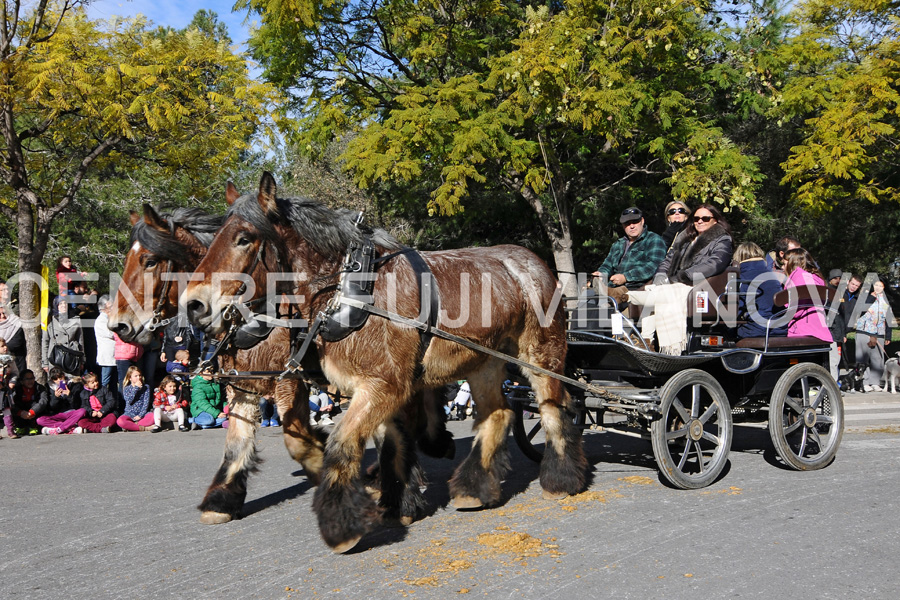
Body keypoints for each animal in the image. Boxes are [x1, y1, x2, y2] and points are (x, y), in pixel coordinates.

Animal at [105, 206, 328, 524]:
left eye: (149, 261)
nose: (118, 325)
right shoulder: (244, 383)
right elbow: (237, 439)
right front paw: (222, 497)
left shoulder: (288, 379)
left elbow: (298, 442)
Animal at [183, 173, 592, 552]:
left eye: (244, 238)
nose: (194, 304)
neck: (350, 289)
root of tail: (533, 262)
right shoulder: (362, 386)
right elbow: (389, 441)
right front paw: (397, 500)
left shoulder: (382, 384)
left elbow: (342, 444)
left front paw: (342, 522)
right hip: (484, 363)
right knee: (498, 413)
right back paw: (475, 486)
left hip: (541, 353)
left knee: (554, 407)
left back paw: (561, 479)